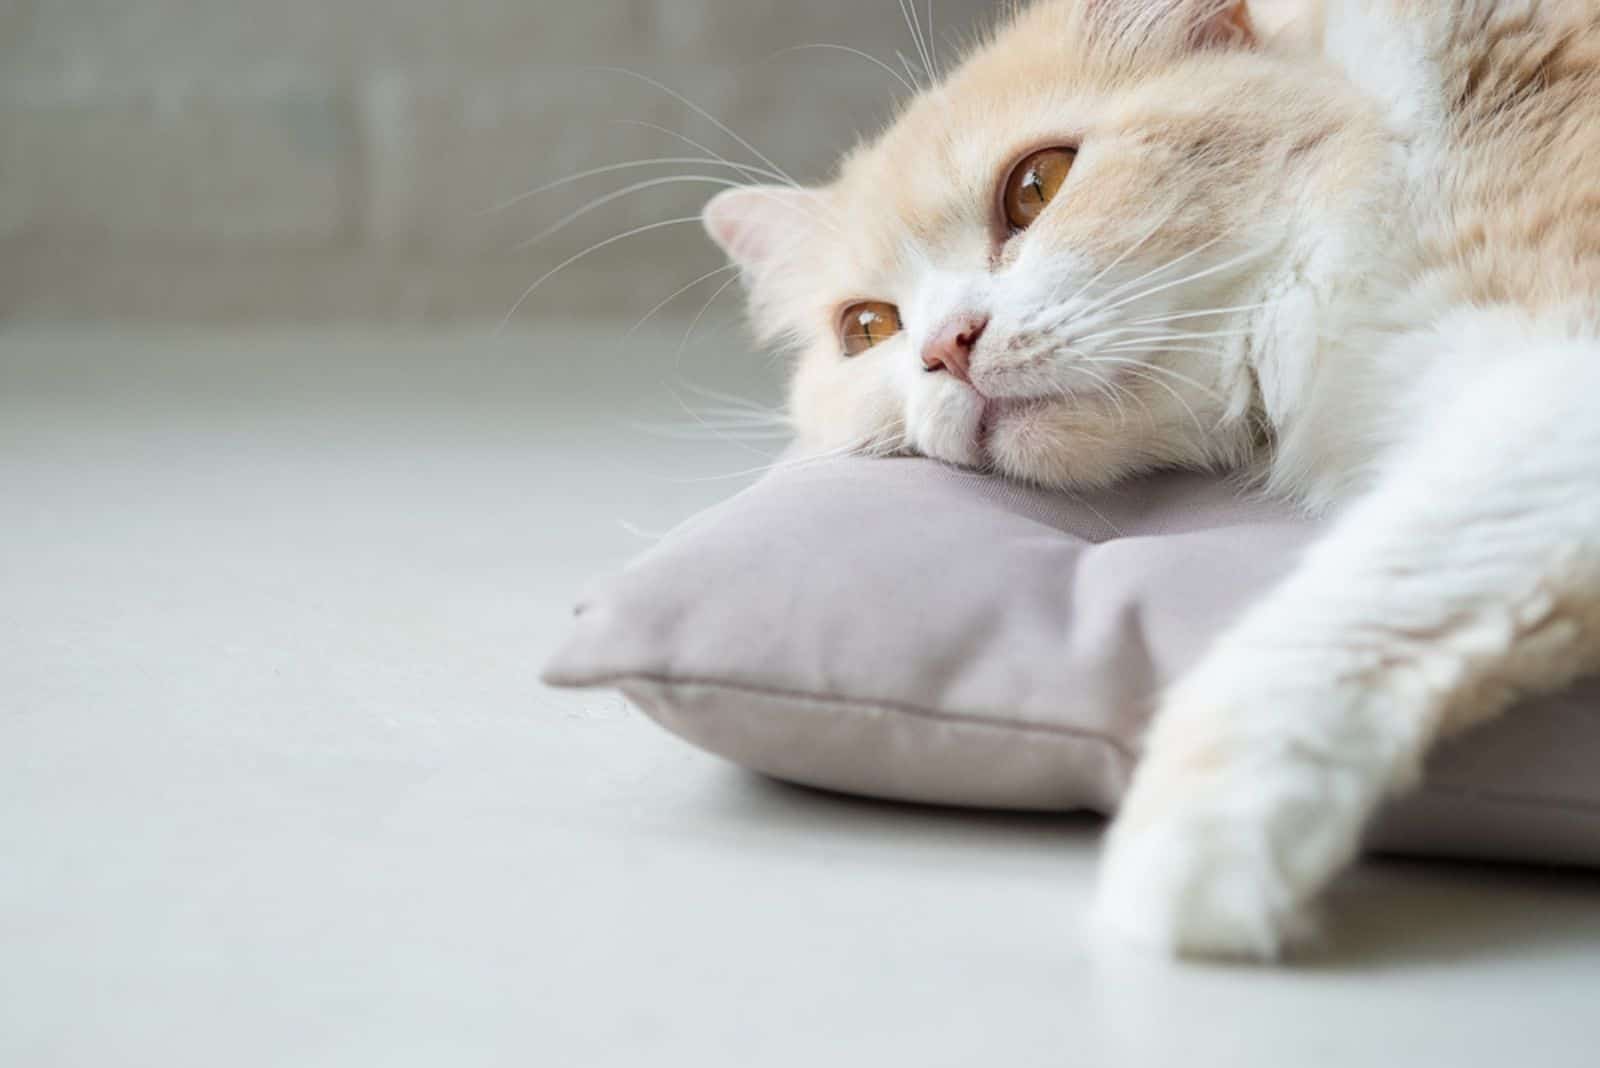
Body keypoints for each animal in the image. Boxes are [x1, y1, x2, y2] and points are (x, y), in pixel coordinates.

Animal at [707, 0, 1600, 965]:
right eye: (867, 328)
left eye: (1037, 187)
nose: (946, 347)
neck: (1387, 136)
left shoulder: (1553, 397)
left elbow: (1355, 601)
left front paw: (1187, 857)